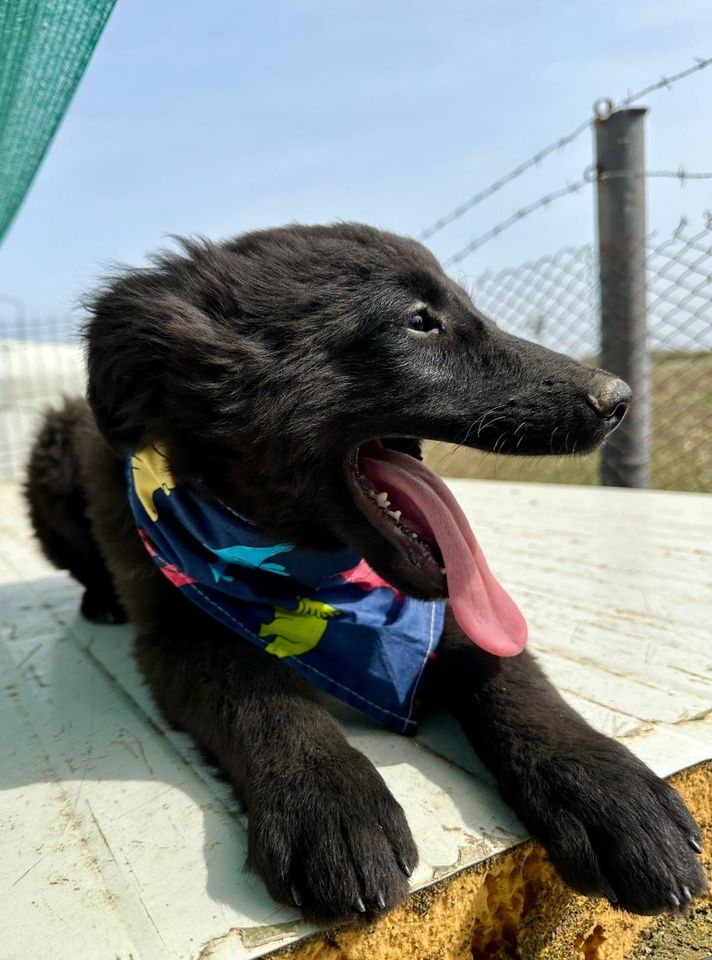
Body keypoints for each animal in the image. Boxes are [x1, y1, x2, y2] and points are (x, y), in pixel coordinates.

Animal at [25, 225, 704, 924]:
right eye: (418, 322)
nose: (619, 399)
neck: (308, 579)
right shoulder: (177, 633)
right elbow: (258, 689)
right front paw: (328, 796)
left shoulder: (455, 613)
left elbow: (514, 675)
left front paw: (605, 782)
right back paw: (99, 601)